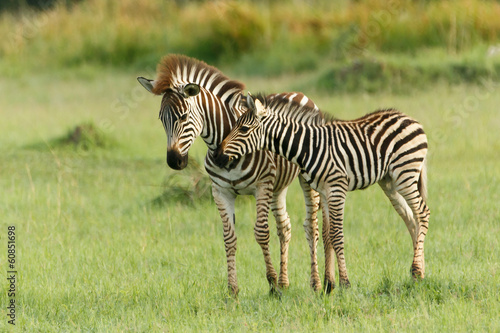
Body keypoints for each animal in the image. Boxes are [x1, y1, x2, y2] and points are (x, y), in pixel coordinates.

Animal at [135, 55, 328, 296]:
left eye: (184, 116)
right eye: (161, 119)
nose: (174, 161)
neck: (223, 145)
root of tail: (299, 94)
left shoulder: (262, 186)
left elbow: (261, 233)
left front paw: (272, 284)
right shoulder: (221, 191)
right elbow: (229, 239)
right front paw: (233, 289)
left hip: (304, 178)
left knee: (311, 226)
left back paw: (315, 283)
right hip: (278, 186)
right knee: (284, 227)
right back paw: (285, 281)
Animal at [214, 93, 430, 288]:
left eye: (243, 129)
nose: (218, 157)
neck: (309, 146)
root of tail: (408, 118)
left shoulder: (337, 187)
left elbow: (336, 234)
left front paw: (345, 283)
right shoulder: (325, 192)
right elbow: (329, 234)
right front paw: (332, 283)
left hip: (405, 173)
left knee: (423, 213)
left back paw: (416, 270)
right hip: (389, 182)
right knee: (411, 218)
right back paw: (418, 273)